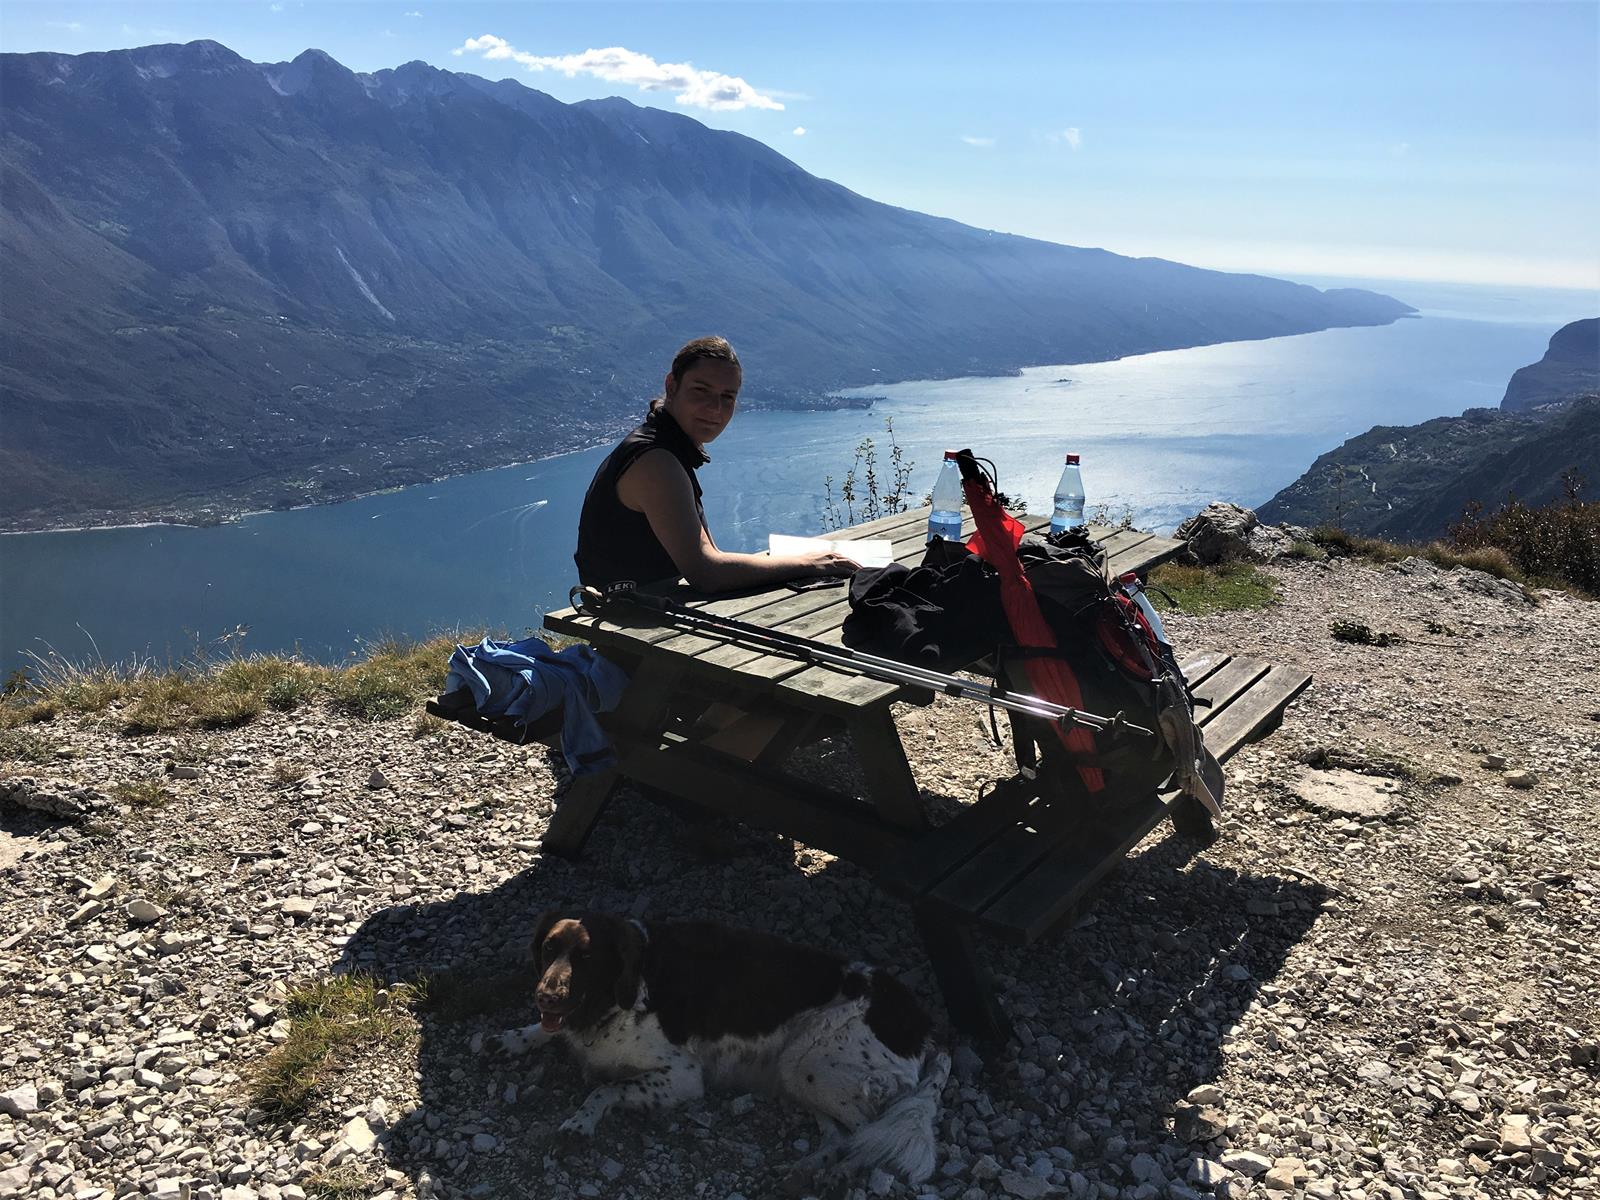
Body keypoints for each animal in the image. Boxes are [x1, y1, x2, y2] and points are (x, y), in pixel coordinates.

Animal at [496, 915, 947, 1190]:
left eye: (587, 958)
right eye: (548, 949)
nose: (545, 997)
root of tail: (924, 1025)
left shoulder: (682, 1075)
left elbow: (604, 1090)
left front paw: (579, 1124)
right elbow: (549, 1033)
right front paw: (512, 1038)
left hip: (811, 1059)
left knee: (868, 1130)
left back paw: (842, 1174)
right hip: (799, 1072)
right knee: (840, 1134)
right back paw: (807, 1171)